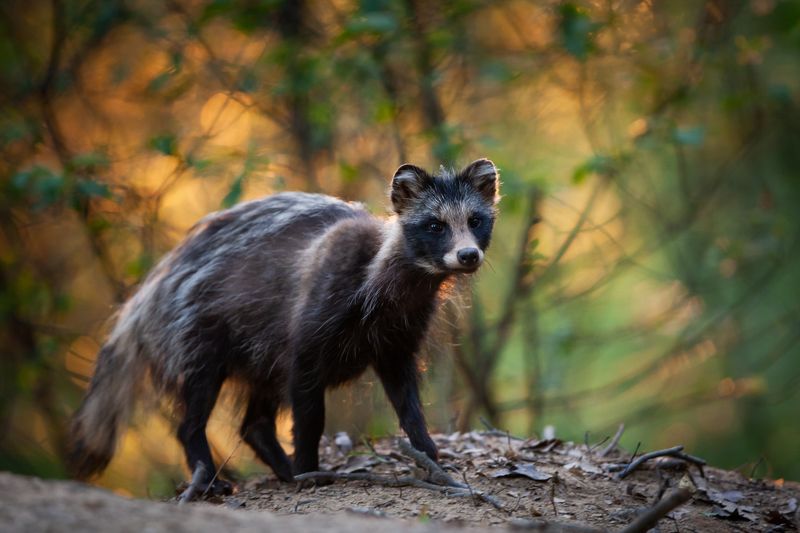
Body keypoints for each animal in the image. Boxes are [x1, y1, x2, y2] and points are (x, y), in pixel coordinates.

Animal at [68, 158, 499, 497]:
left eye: (475, 221)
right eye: (435, 225)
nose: (467, 255)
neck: (406, 283)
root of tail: (148, 293)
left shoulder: (399, 335)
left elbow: (407, 399)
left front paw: (428, 453)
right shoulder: (317, 315)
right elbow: (309, 409)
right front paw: (309, 465)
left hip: (258, 347)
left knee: (255, 421)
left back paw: (281, 467)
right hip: (198, 328)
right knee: (195, 410)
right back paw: (214, 473)